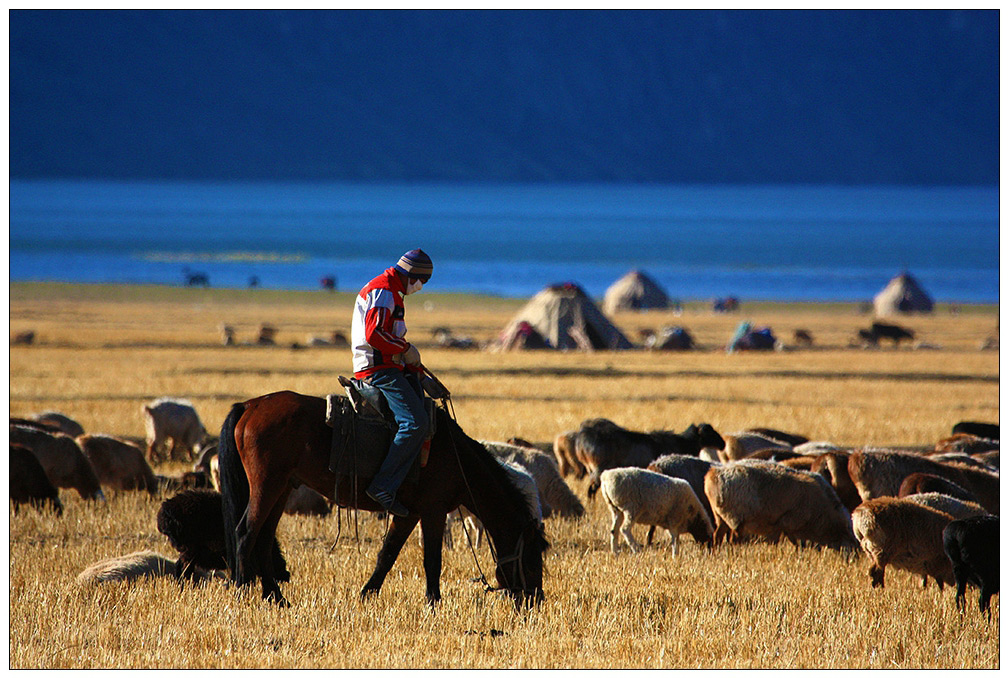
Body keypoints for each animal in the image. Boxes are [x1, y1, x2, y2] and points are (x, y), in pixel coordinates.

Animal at [219, 388, 548, 604]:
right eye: (532, 562)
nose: (535, 600)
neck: (457, 459)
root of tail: (250, 406)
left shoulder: (409, 512)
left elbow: (387, 554)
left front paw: (366, 594)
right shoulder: (433, 510)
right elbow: (432, 559)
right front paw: (433, 603)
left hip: (283, 487)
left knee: (263, 537)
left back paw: (275, 597)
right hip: (267, 484)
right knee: (245, 532)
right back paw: (242, 592)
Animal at [701, 457, 858, 552]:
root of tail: (713, 474)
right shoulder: (788, 523)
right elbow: (796, 544)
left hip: (721, 517)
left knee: (717, 536)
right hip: (736, 518)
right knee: (733, 539)